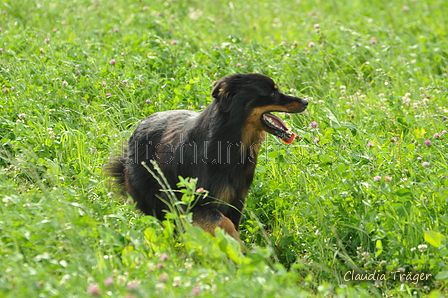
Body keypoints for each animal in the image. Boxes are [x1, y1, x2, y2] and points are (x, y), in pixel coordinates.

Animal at [107, 73, 308, 241]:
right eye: (272, 92)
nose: (306, 101)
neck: (228, 142)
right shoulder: (196, 203)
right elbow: (221, 222)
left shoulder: (237, 200)